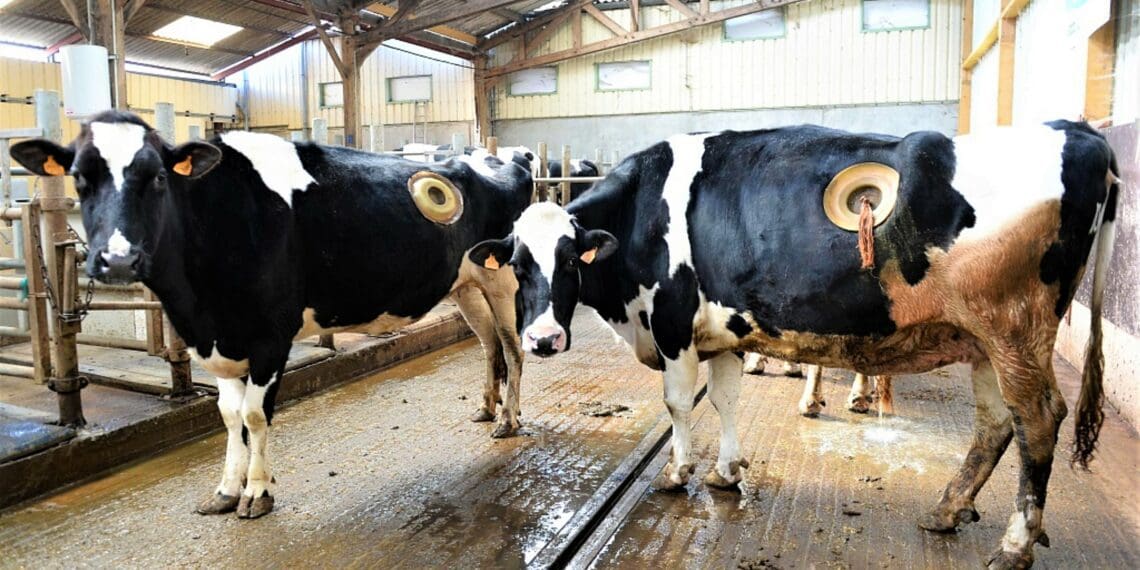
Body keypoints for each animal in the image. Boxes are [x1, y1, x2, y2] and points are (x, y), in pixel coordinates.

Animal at [10, 110, 534, 519]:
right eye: (80, 178)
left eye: (158, 176)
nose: (117, 259)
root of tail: (503, 155)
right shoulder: (217, 339)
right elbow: (227, 415)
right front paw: (225, 489)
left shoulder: (270, 336)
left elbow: (255, 415)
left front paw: (257, 492)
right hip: (465, 284)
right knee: (489, 344)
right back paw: (487, 408)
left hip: (504, 281)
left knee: (512, 348)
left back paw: (509, 420)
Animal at [468, 121, 1120, 568]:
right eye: (518, 266)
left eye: (568, 262)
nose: (543, 339)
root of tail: (1079, 132)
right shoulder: (723, 330)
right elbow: (725, 399)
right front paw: (726, 472)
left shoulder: (674, 324)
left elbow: (678, 404)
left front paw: (678, 472)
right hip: (984, 341)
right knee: (995, 423)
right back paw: (946, 510)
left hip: (1014, 329)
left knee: (1038, 419)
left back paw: (1014, 545)